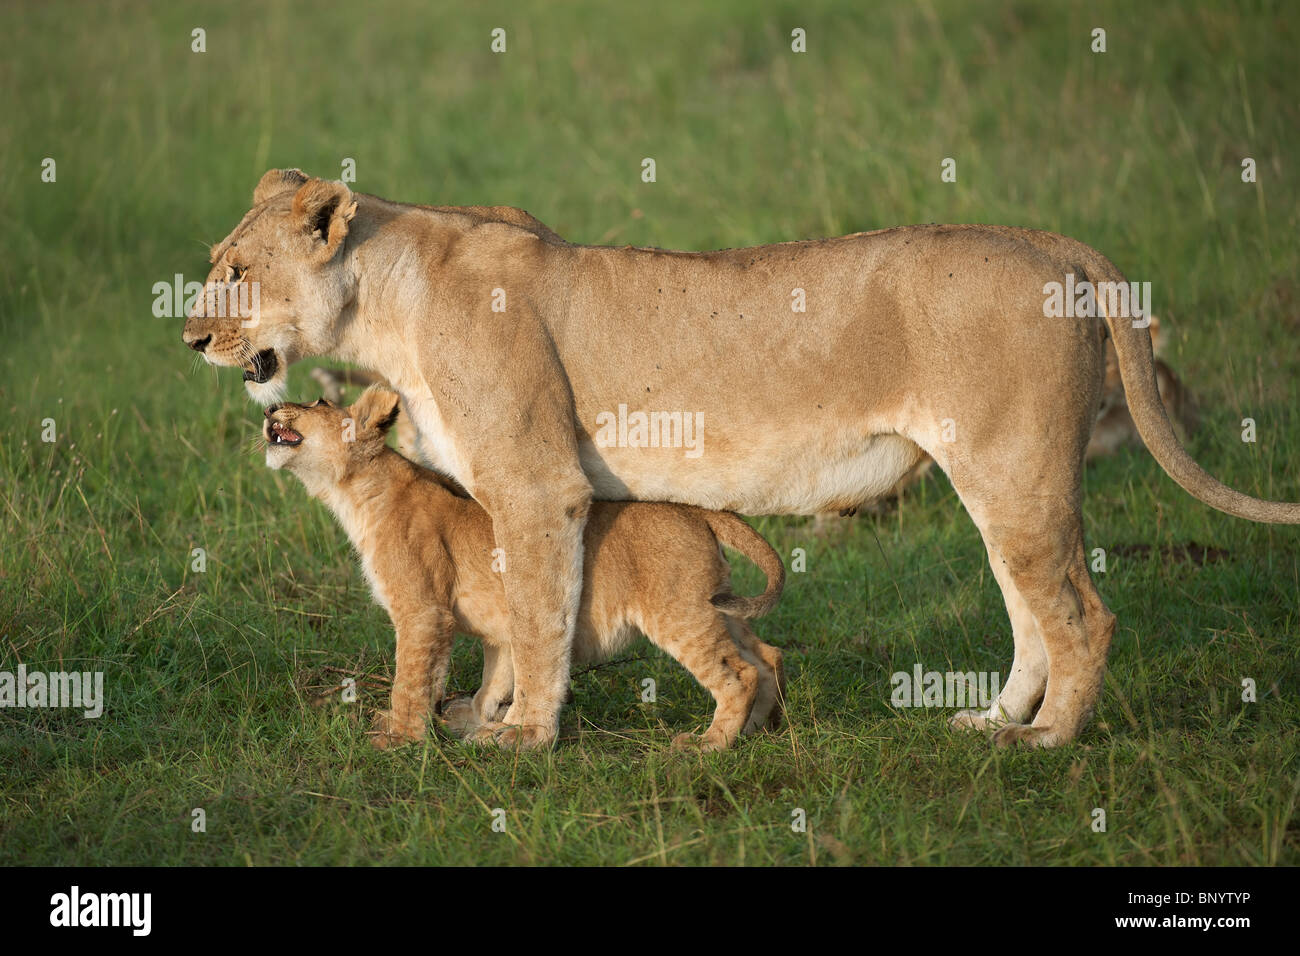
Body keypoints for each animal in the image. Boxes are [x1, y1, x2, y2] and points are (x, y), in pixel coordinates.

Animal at [262, 385, 786, 751]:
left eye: (316, 401)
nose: (270, 410)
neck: (353, 493)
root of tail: (700, 511)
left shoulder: (423, 611)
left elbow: (410, 680)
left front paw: (400, 739)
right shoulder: (495, 625)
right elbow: (493, 677)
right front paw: (476, 723)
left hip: (678, 612)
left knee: (739, 674)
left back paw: (708, 745)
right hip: (714, 606)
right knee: (767, 656)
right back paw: (756, 731)